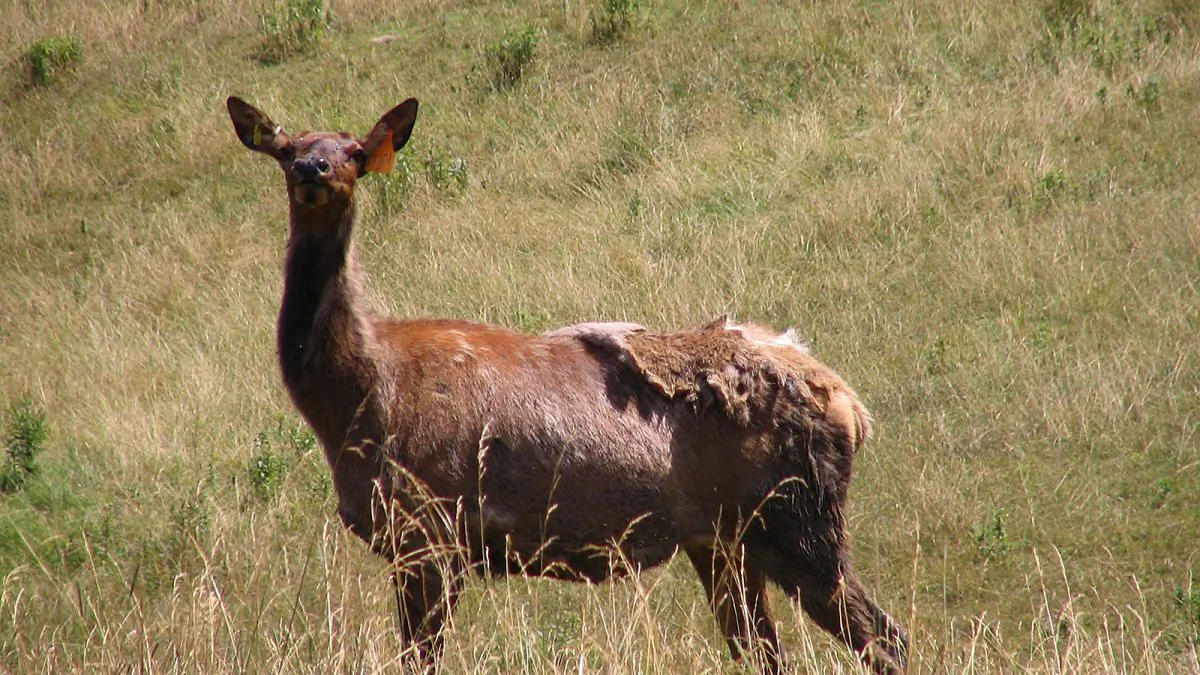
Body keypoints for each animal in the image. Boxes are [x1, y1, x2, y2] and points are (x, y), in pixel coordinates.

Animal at [226, 95, 909, 674]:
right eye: (288, 148)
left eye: (355, 151)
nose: (313, 168)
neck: (354, 400)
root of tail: (851, 405)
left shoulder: (430, 530)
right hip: (724, 539)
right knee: (772, 649)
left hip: (798, 516)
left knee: (884, 636)